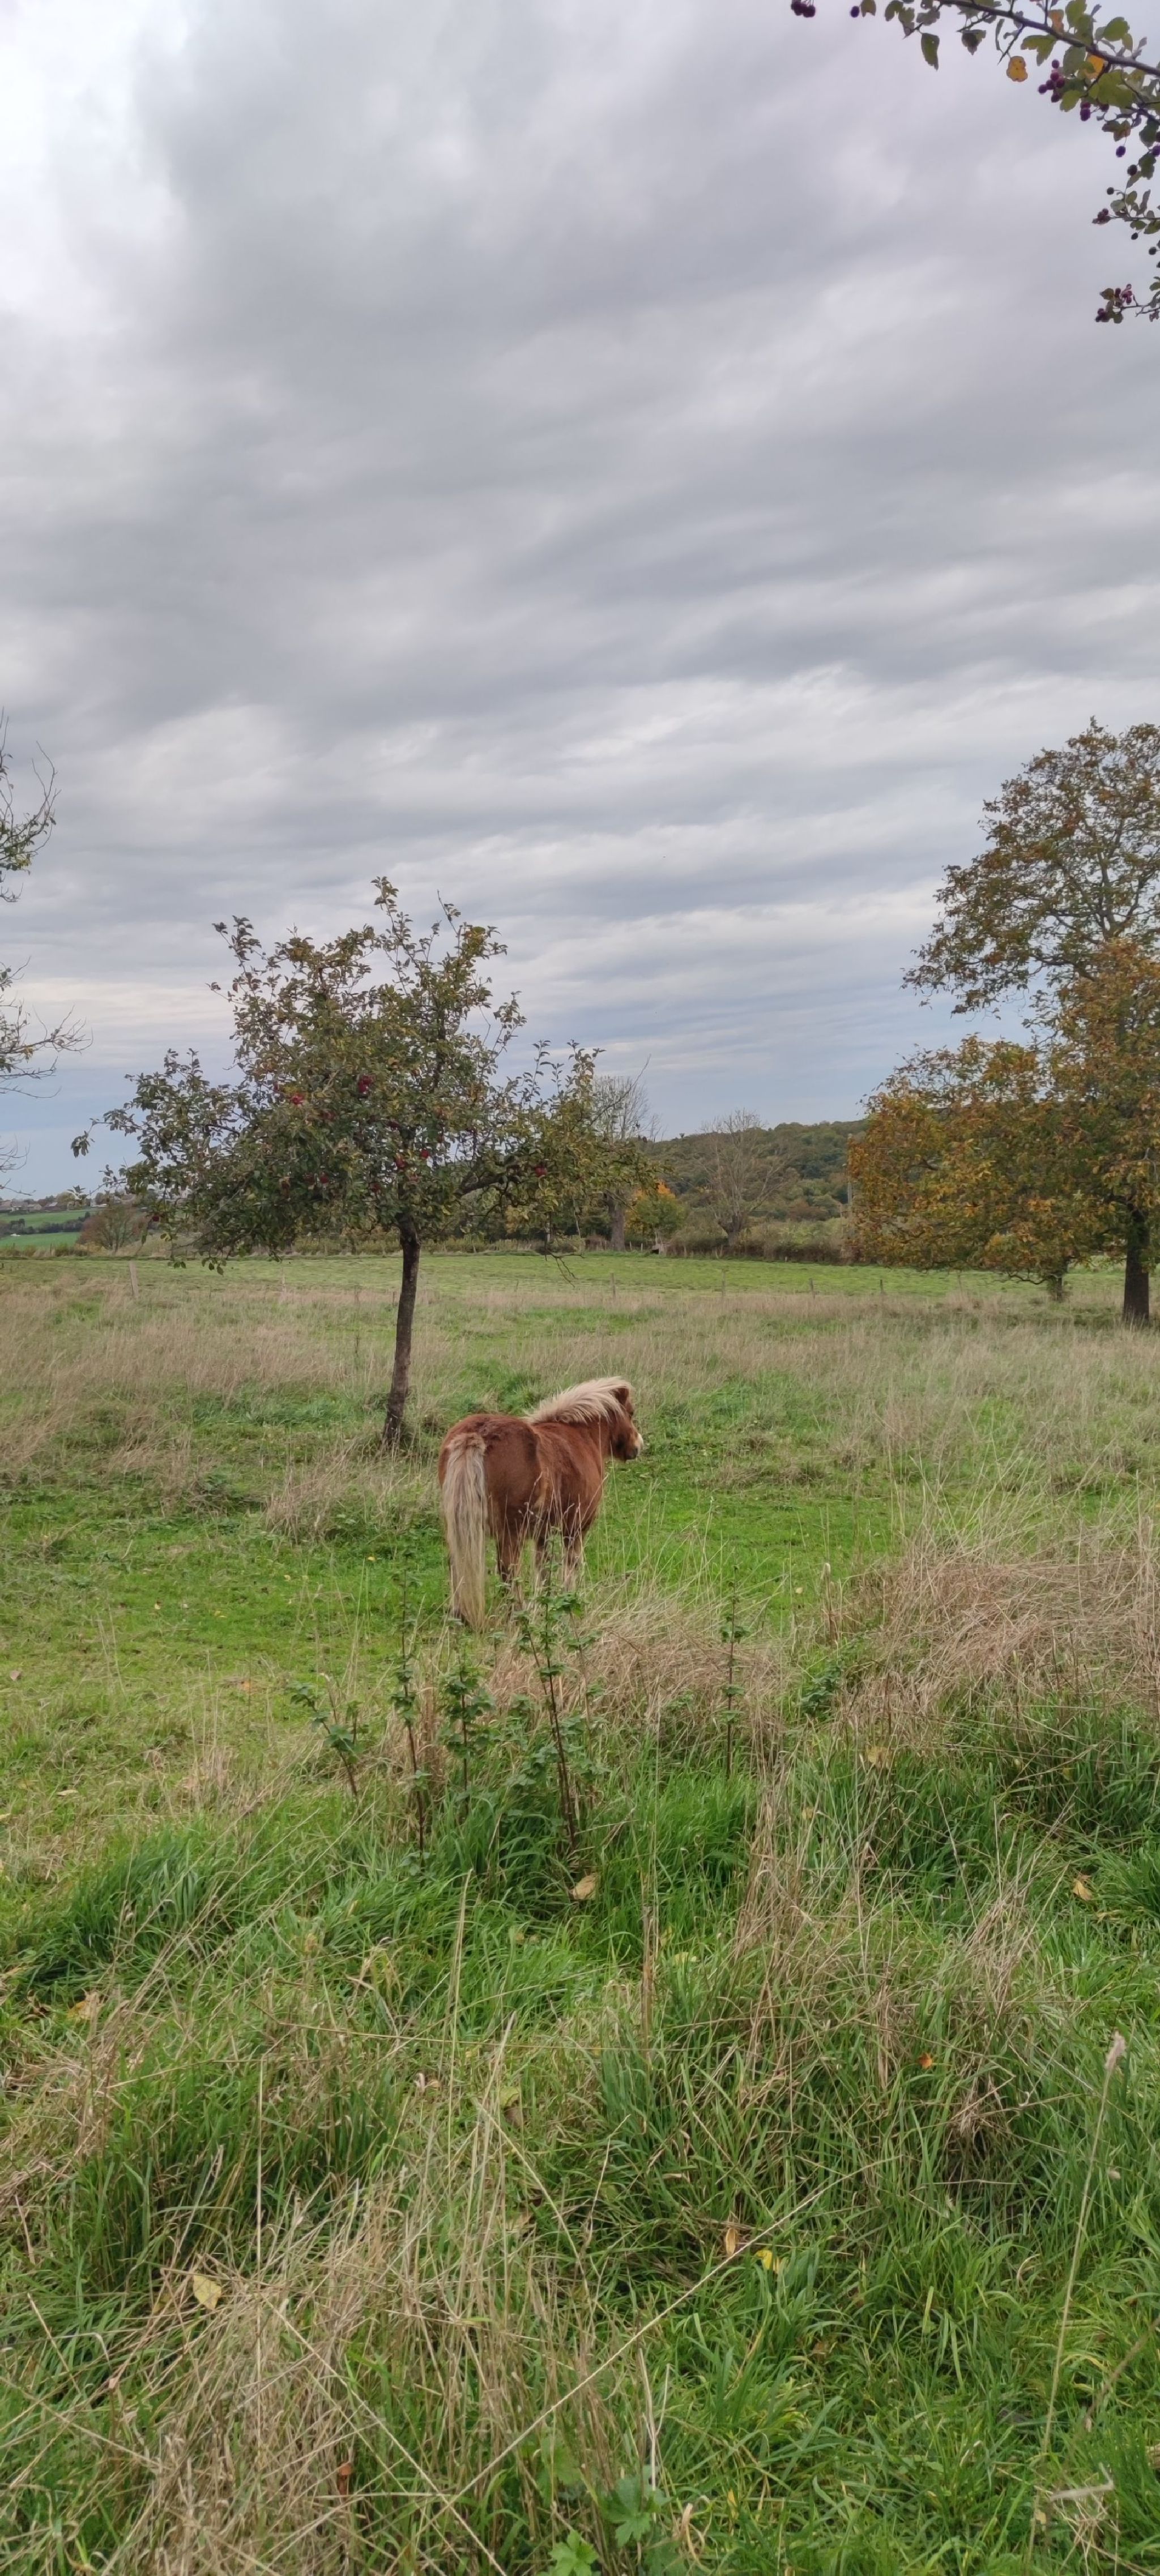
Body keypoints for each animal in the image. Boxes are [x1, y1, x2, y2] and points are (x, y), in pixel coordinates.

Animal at [438, 1377, 644, 1627]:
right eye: (631, 1412)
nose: (638, 1446)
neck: (581, 1437)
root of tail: (477, 1435)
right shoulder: (576, 1528)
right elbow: (570, 1567)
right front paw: (568, 1609)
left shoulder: (543, 1534)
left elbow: (543, 1570)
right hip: (511, 1533)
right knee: (508, 1570)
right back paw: (519, 1615)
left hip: (459, 1526)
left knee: (455, 1564)